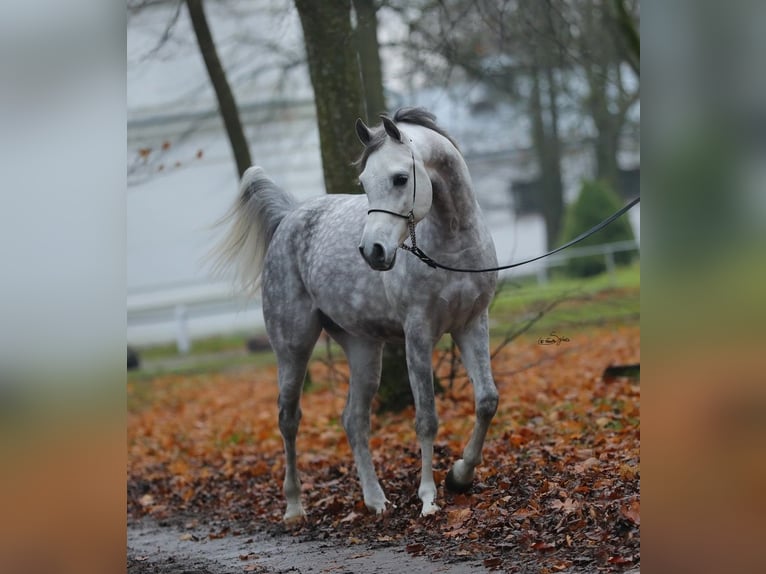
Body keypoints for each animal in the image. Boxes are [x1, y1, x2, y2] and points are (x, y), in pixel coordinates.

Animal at [216, 107, 500, 520]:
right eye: (364, 181)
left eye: (400, 178)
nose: (373, 251)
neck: (453, 243)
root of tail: (289, 219)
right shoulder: (418, 335)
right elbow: (426, 419)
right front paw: (428, 497)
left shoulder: (472, 324)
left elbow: (487, 401)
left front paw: (460, 476)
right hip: (293, 348)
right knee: (289, 419)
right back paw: (295, 506)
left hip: (364, 349)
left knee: (353, 420)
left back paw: (375, 499)